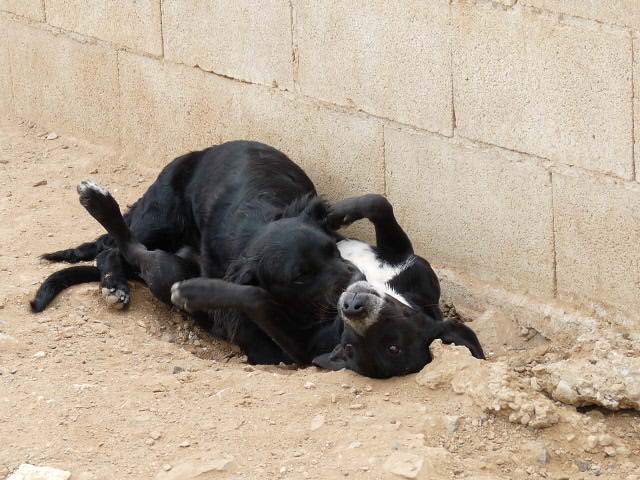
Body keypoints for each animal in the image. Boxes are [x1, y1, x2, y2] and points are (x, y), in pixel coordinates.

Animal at [28, 141, 480, 376]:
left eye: (393, 347)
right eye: (301, 275)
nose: (351, 300)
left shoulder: (289, 352)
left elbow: (255, 297)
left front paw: (201, 292)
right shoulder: (405, 262)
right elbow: (378, 201)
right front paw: (337, 211)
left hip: (166, 264)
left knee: (133, 251)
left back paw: (102, 216)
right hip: (160, 215)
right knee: (109, 247)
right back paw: (112, 274)